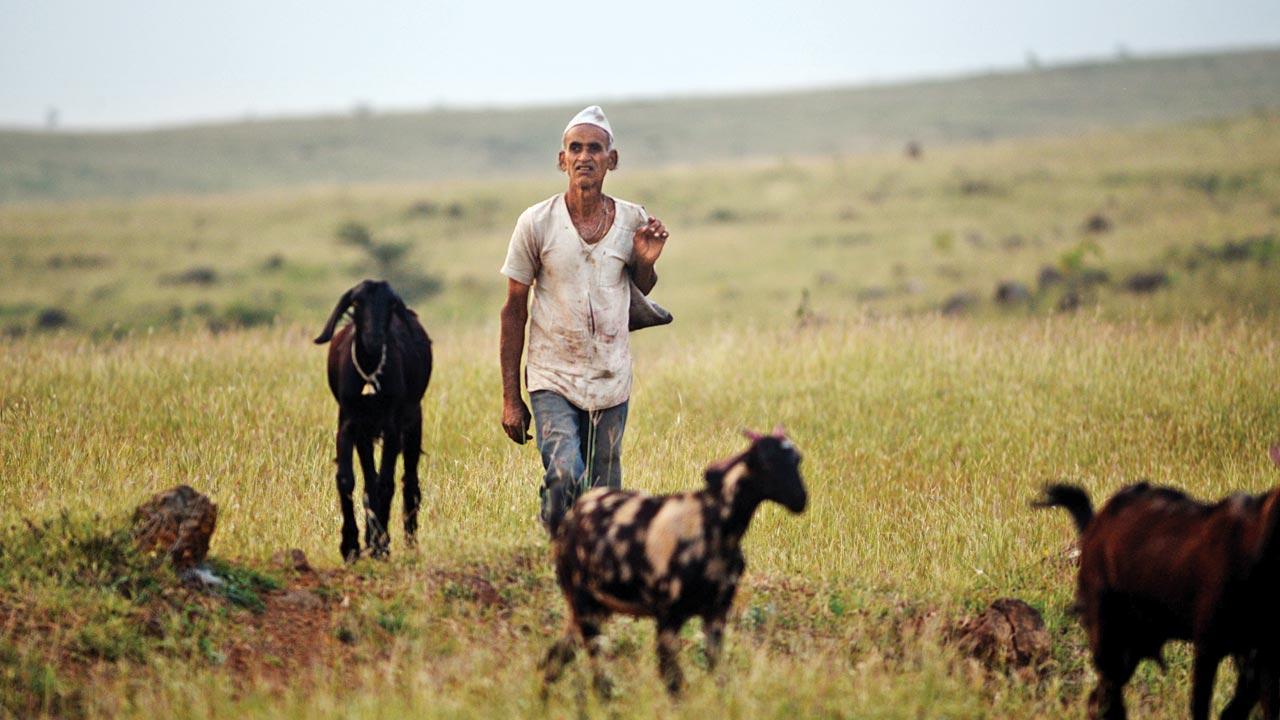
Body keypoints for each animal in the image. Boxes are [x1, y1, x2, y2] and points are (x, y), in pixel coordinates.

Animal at [312, 278, 432, 558]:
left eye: (390, 304)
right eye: (357, 302)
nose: (373, 339)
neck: (369, 372)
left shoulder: (392, 427)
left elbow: (387, 482)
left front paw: (381, 545)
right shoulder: (348, 423)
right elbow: (347, 479)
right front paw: (351, 545)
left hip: (413, 421)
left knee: (409, 482)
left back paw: (409, 542)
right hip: (365, 433)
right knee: (370, 481)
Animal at [542, 425, 808, 696]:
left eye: (797, 459)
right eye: (765, 461)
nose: (800, 500)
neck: (714, 522)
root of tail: (571, 517)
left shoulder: (716, 615)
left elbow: (719, 677)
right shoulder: (668, 618)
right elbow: (674, 684)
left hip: (594, 608)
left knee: (556, 657)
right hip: (584, 604)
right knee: (597, 674)